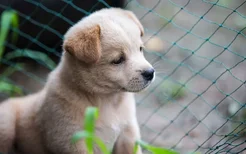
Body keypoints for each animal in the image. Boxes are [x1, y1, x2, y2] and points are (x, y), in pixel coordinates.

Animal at [0, 7, 154, 153]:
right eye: (118, 60)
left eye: (140, 49)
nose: (150, 73)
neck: (108, 101)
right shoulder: (73, 139)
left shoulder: (127, 134)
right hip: (6, 123)